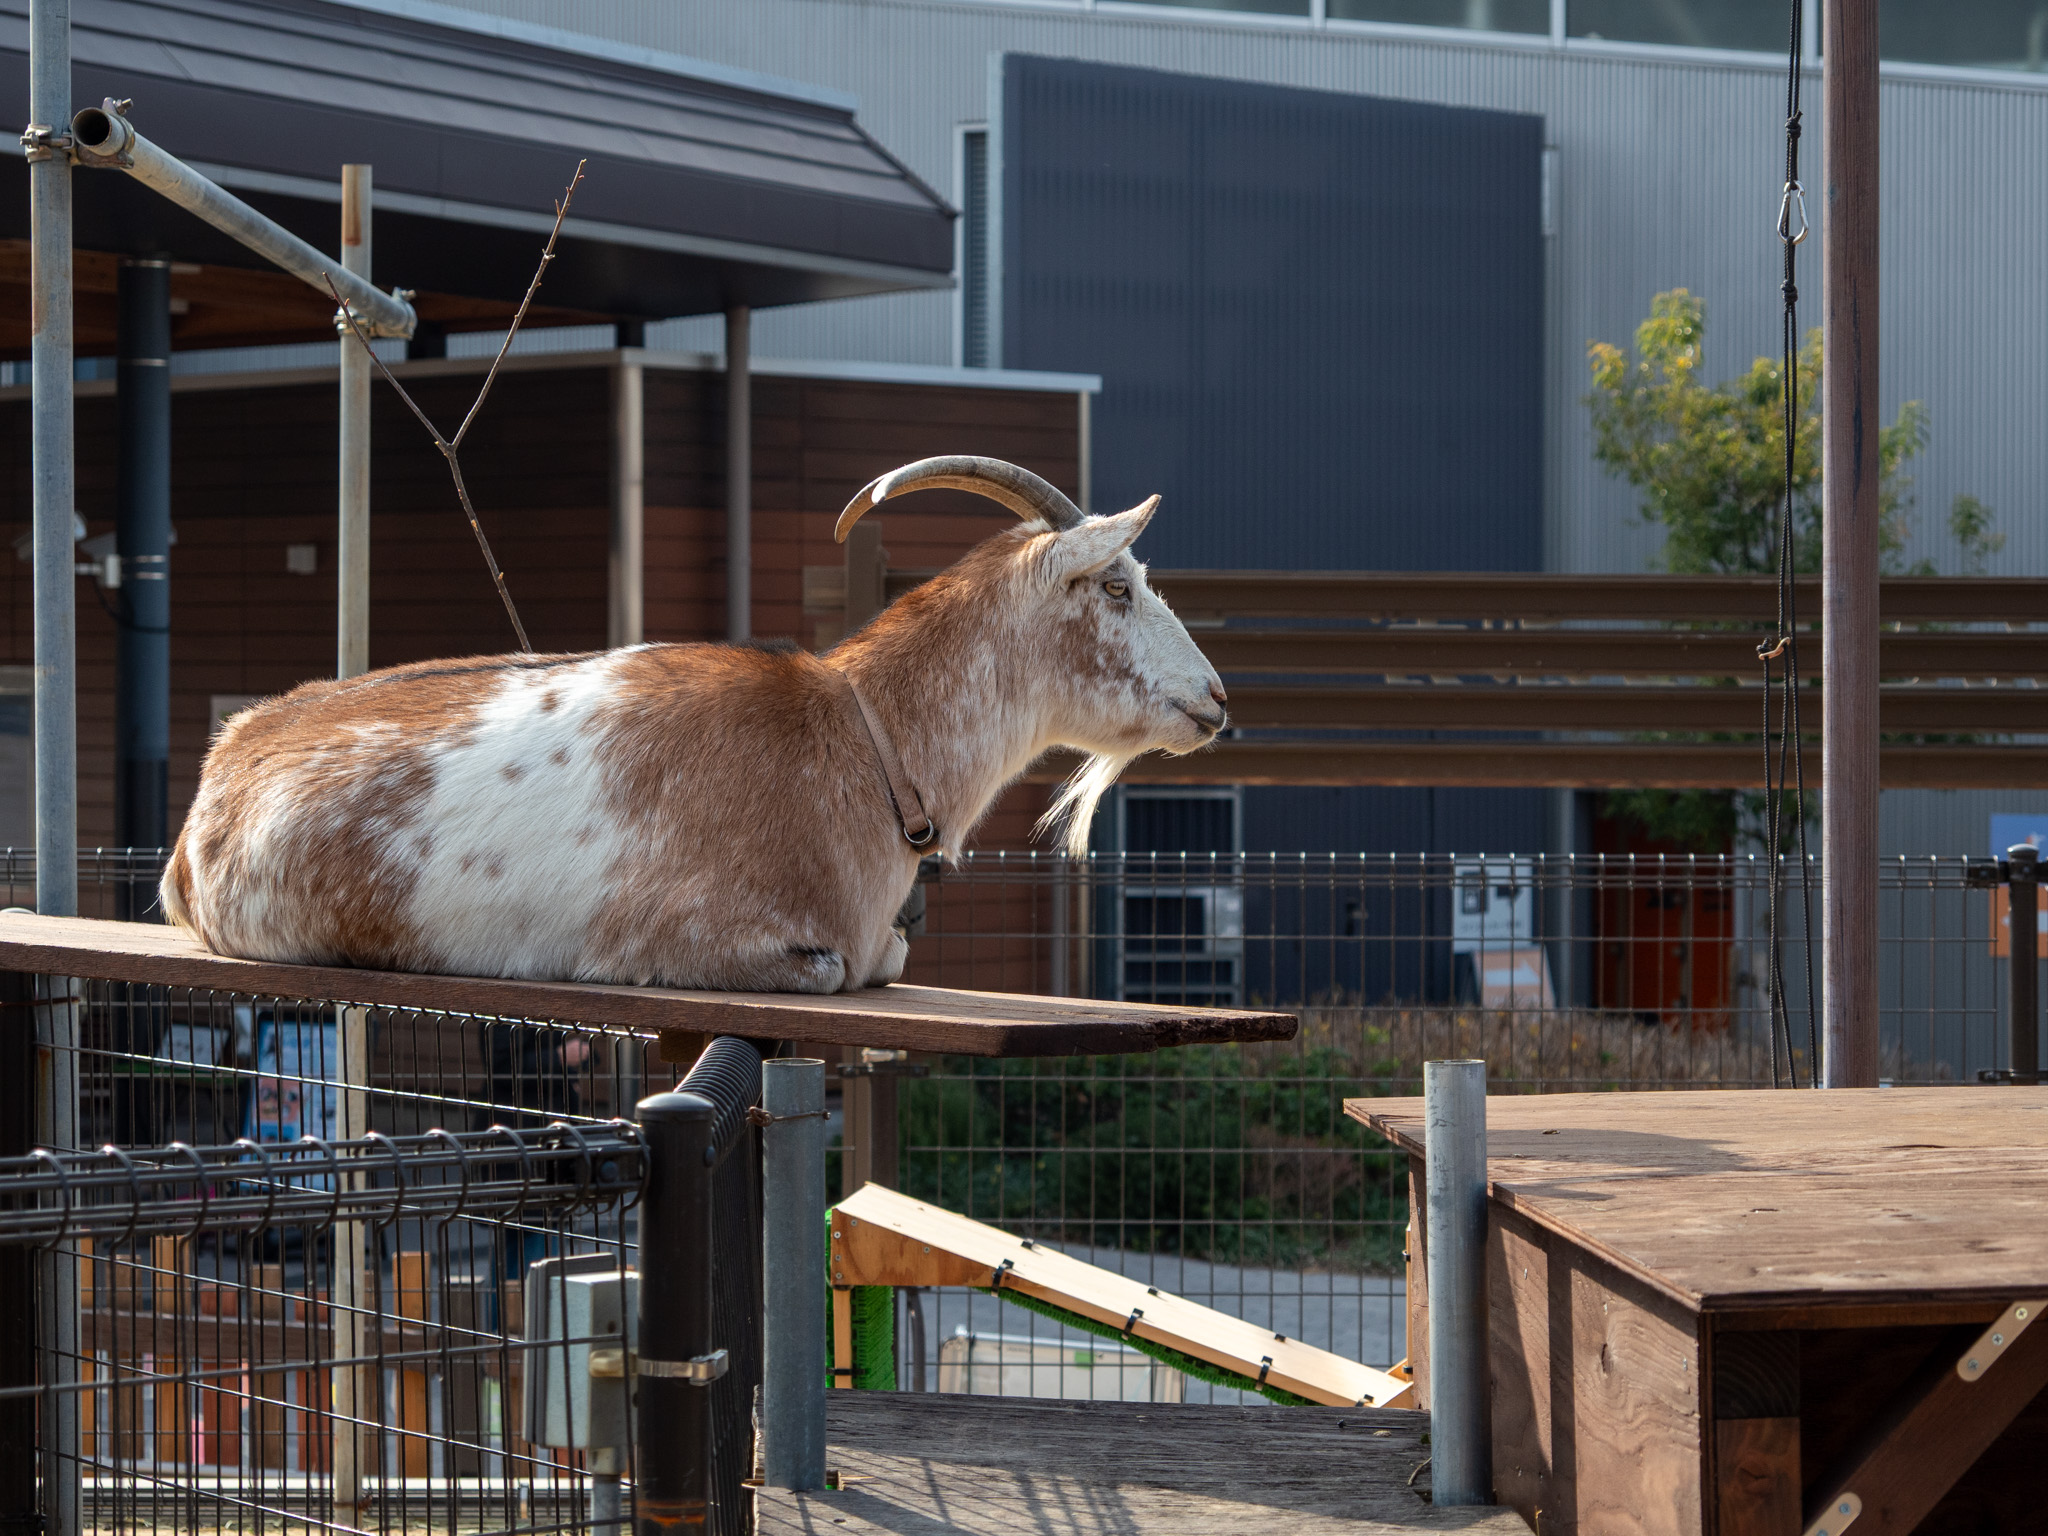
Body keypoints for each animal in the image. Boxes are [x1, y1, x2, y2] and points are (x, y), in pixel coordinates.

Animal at [161, 457, 1228, 993]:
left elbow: (890, 957)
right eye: (1120, 585)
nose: (1216, 700)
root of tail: (224, 759)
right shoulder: (684, 942)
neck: (858, 743)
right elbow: (843, 968)